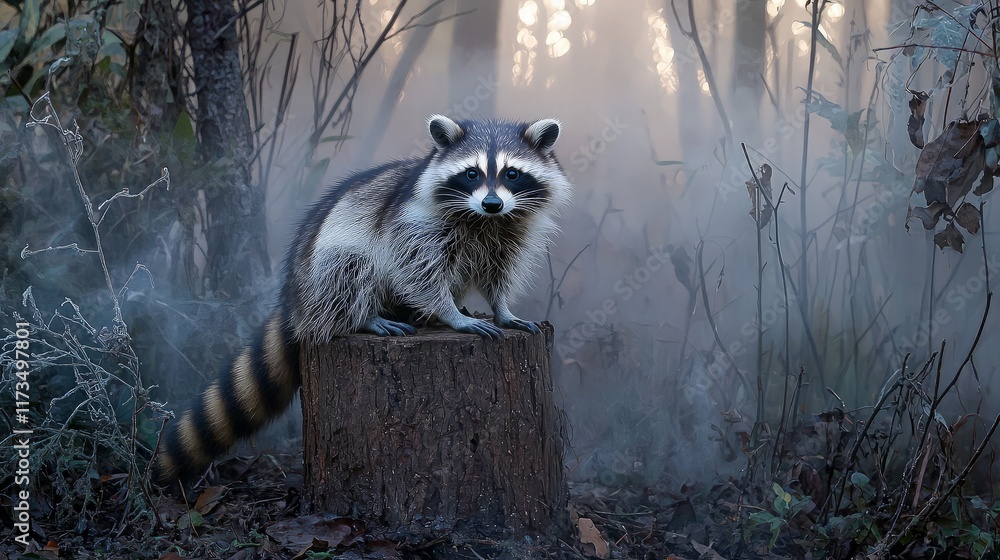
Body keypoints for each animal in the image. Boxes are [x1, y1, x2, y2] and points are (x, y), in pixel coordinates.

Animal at [155, 115, 572, 482]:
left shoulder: (510, 229)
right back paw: (364, 317)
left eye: (512, 173)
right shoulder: (414, 220)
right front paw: (450, 314)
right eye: (472, 173)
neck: (485, 221)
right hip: (325, 263)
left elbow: (499, 271)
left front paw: (501, 308)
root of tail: (295, 292)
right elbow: (416, 266)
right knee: (350, 267)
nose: (491, 203)